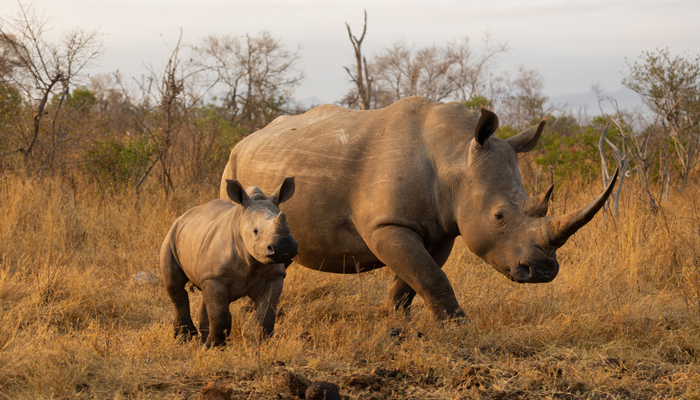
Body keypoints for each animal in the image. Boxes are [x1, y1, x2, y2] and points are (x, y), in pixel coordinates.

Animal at [160, 177, 297, 347]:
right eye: (255, 231)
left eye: (289, 226)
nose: (285, 247)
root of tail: (183, 216)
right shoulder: (215, 277)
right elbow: (220, 315)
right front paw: (213, 347)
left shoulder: (274, 276)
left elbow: (266, 314)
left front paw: (262, 345)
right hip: (171, 237)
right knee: (175, 286)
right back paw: (184, 338)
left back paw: (201, 338)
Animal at [220, 96, 617, 320]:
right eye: (500, 216)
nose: (543, 271)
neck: (455, 153)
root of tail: (245, 139)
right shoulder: (387, 224)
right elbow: (429, 275)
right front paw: (459, 327)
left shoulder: (441, 228)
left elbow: (416, 277)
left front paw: (393, 320)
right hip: (233, 168)